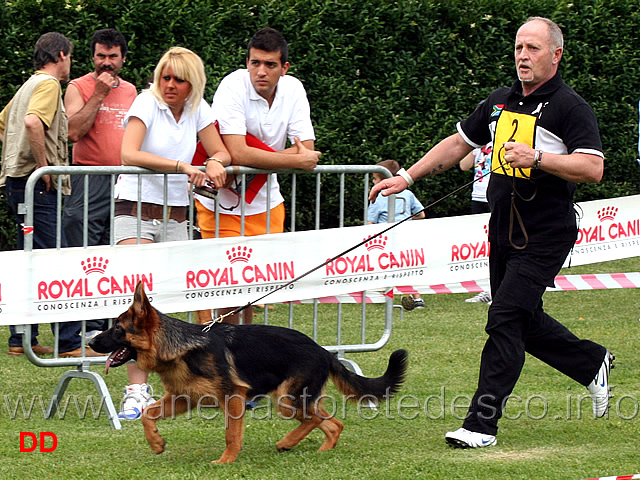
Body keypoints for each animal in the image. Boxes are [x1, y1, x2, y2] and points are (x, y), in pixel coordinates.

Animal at [89, 284, 410, 464]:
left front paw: (226, 461)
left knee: (320, 420)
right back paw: (317, 448)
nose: (90, 342)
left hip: (286, 401)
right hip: (294, 401)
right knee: (332, 422)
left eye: (117, 329)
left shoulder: (233, 399)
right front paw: (156, 443)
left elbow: (231, 434)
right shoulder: (184, 398)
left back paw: (290, 443)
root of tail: (323, 350)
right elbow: (148, 414)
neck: (181, 349)